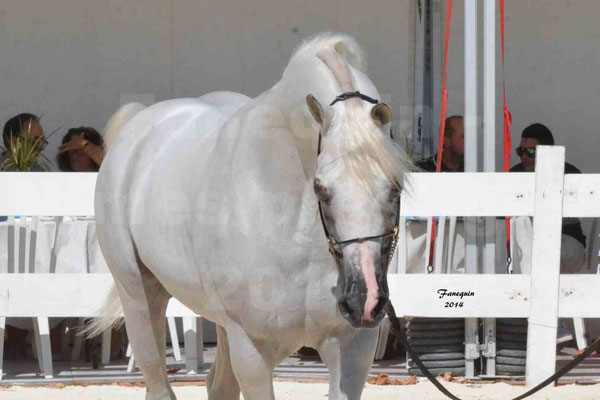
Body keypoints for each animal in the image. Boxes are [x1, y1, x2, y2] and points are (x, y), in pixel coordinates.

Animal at [95, 34, 412, 400]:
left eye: (395, 185)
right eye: (320, 188)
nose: (365, 299)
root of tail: (138, 125)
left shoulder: (353, 345)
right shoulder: (252, 348)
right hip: (139, 296)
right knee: (158, 381)